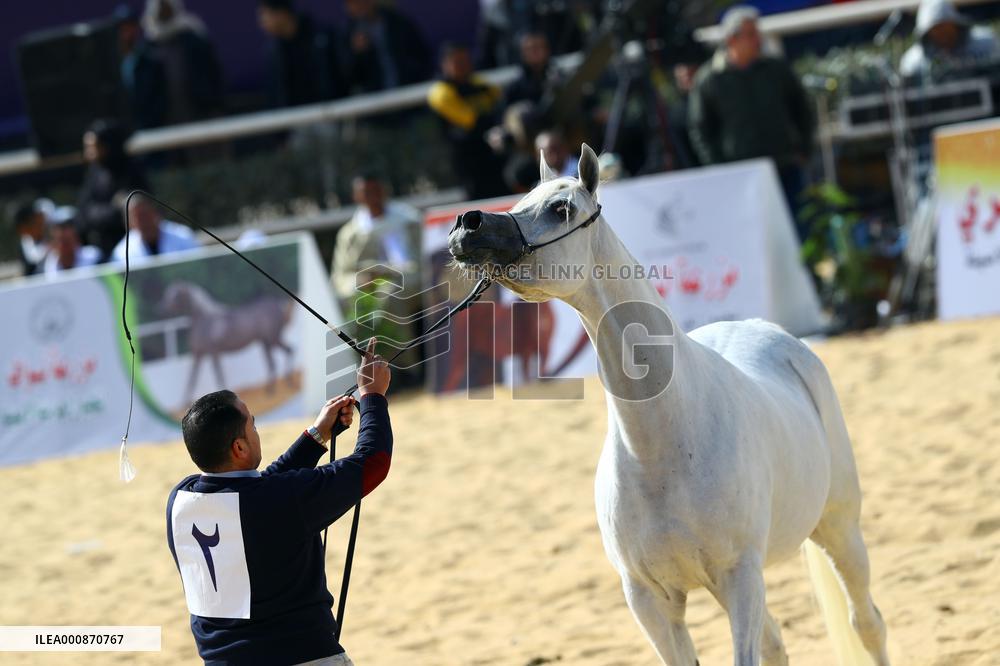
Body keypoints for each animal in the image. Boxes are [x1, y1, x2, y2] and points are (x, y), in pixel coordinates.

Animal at [160, 282, 295, 403]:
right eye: (167, 293)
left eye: (176, 295)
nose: (161, 308)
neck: (204, 320)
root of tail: (277, 305)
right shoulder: (198, 354)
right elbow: (192, 378)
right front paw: (184, 402)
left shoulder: (213, 352)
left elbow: (218, 374)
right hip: (266, 343)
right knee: (277, 359)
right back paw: (276, 388)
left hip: (272, 340)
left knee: (285, 353)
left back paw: (282, 387)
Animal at [447, 145, 889, 666]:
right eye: (518, 202)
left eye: (561, 209)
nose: (468, 224)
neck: (665, 446)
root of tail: (773, 333)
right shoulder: (648, 598)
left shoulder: (740, 576)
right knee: (777, 643)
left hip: (838, 528)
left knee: (867, 623)